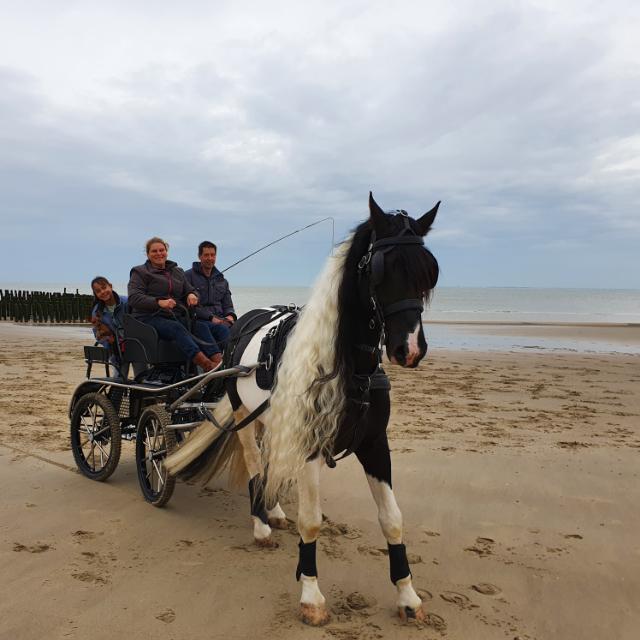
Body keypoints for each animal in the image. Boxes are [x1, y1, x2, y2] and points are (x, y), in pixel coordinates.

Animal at [164, 195, 440, 624]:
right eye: (382, 269)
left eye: (429, 271)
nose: (409, 349)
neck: (345, 367)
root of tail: (245, 320)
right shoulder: (309, 444)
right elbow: (311, 523)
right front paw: (311, 596)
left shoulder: (375, 444)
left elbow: (393, 520)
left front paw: (407, 595)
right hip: (244, 417)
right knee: (254, 464)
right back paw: (261, 525)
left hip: (269, 420)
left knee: (268, 464)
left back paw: (273, 511)